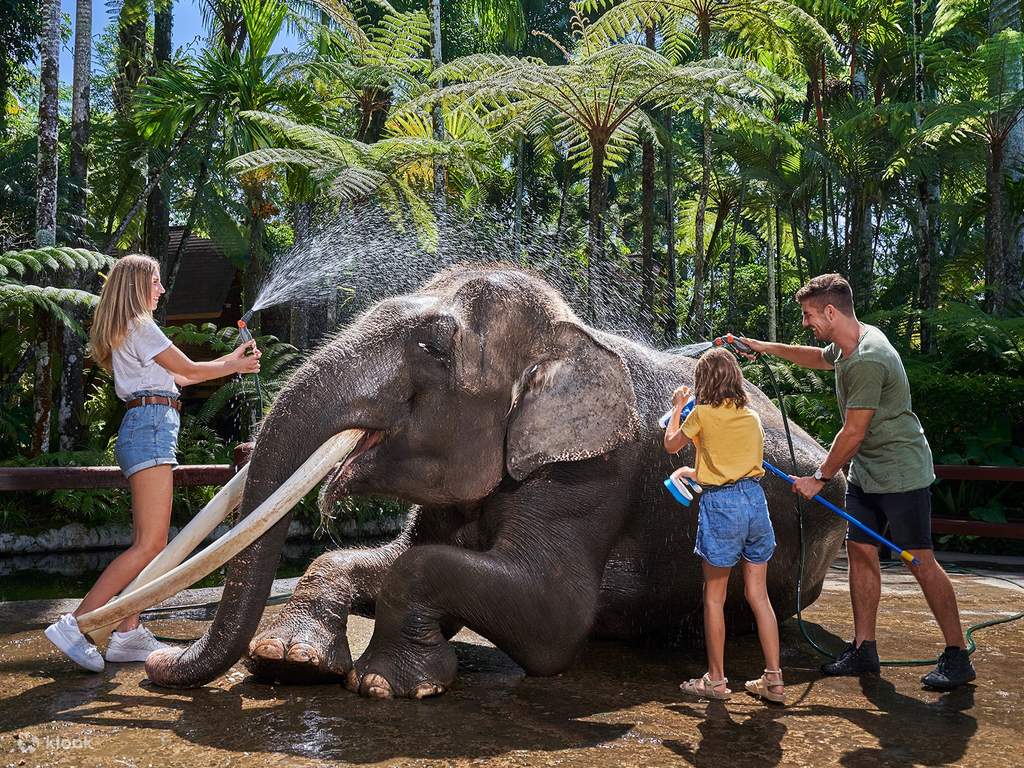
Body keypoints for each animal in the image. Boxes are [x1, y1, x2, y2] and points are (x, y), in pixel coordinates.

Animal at [144, 264, 847, 697]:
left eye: (434, 346)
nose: (155, 659)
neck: (566, 331)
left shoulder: (591, 475)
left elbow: (554, 616)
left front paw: (383, 684)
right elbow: (388, 555)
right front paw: (288, 660)